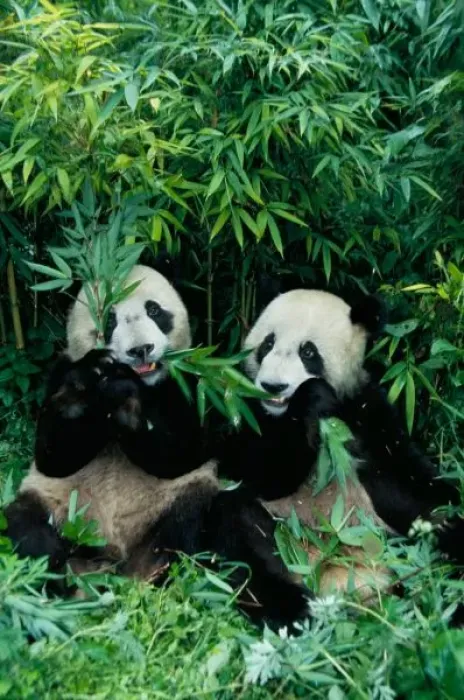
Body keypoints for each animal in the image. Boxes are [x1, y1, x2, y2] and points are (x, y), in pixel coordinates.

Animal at [4, 264, 310, 631]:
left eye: (154, 310)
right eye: (110, 319)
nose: (141, 349)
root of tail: (116, 561)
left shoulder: (194, 382)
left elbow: (181, 452)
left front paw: (126, 396)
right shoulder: (59, 373)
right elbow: (53, 456)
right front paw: (89, 383)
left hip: (175, 505)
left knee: (199, 525)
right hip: (61, 509)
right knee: (26, 529)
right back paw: (51, 586)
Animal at [216, 288, 464, 597]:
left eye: (308, 352)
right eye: (268, 343)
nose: (273, 386)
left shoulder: (366, 414)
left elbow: (409, 484)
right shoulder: (242, 407)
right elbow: (254, 471)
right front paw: (312, 396)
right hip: (280, 536)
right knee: (240, 536)